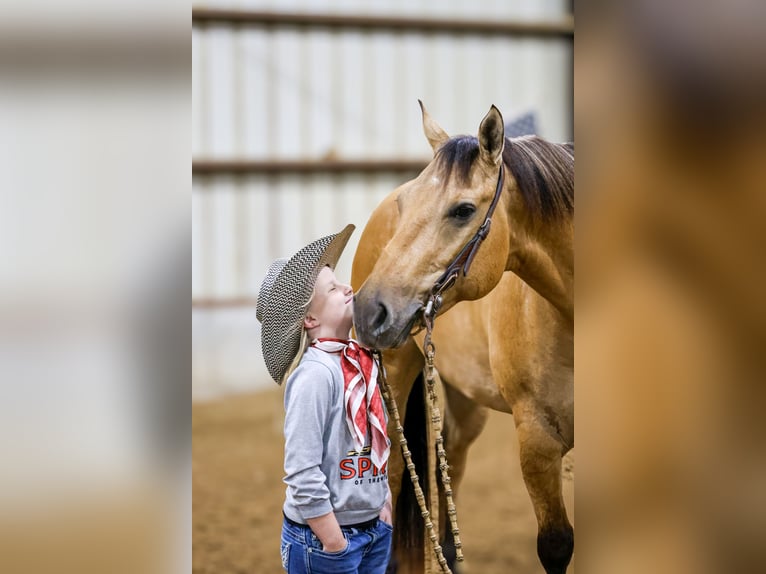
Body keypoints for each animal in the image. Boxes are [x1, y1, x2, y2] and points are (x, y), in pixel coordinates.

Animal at [350, 102, 574, 574]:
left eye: (463, 210)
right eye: (408, 204)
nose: (367, 309)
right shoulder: (537, 441)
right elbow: (556, 545)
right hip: (395, 375)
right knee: (394, 475)